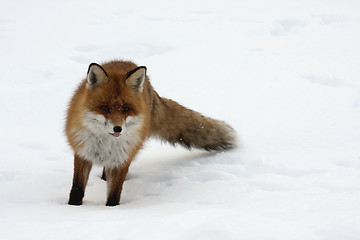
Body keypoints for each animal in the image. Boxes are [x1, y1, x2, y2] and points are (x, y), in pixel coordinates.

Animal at [65, 60, 236, 206]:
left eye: (125, 108)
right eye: (105, 107)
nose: (117, 128)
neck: (105, 144)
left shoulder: (123, 159)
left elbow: (114, 194)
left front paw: (111, 211)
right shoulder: (83, 153)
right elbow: (77, 189)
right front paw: (73, 208)